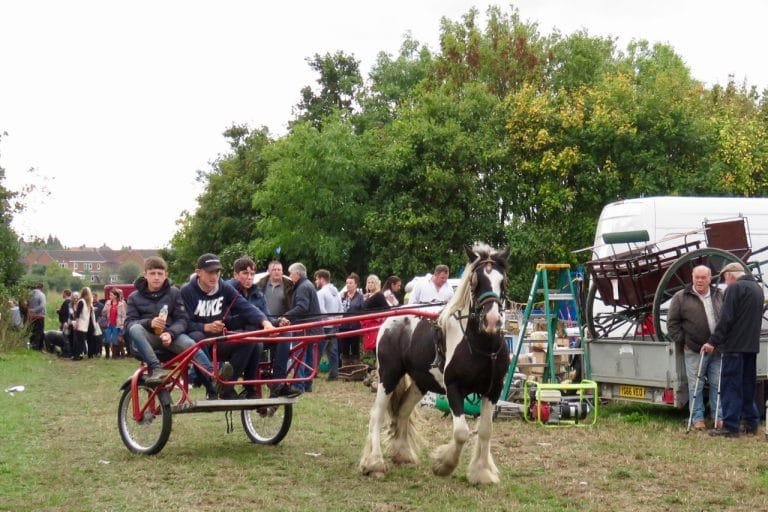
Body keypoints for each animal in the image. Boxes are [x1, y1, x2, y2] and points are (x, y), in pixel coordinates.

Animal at [359, 243, 509, 484]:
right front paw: (443, 465)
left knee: (402, 412)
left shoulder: (493, 390)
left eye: (503, 281)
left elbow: (486, 430)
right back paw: (374, 464)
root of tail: (391, 320)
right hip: (388, 378)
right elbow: (461, 432)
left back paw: (402, 454)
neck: (482, 345)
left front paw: (482, 473)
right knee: (377, 415)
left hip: (421, 383)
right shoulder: (454, 388)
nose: (492, 319)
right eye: (475, 281)